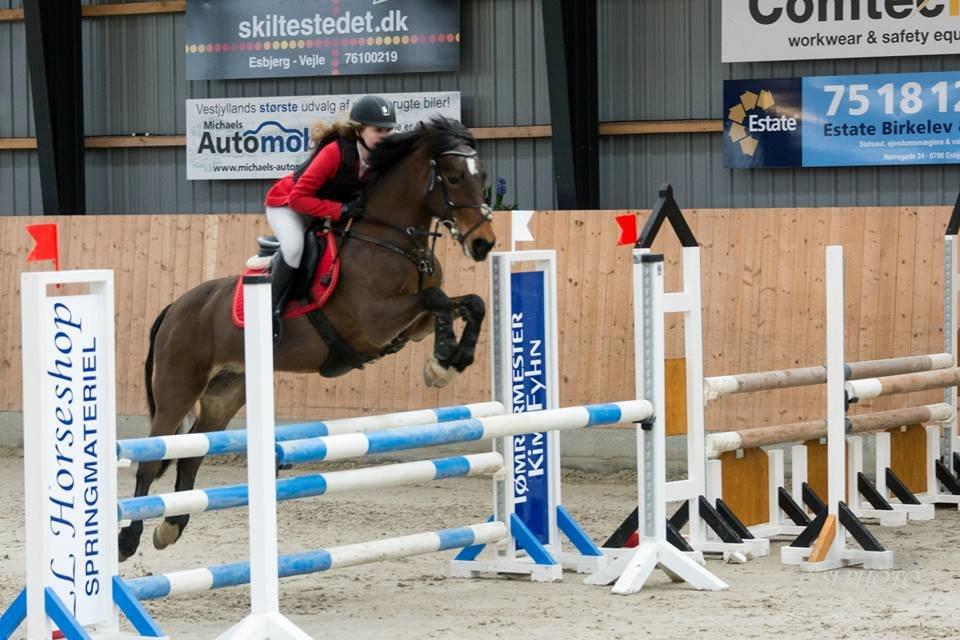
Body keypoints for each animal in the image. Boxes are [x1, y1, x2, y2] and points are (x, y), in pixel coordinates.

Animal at [118, 117, 497, 561]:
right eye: (453, 177)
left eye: (482, 176)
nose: (484, 243)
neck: (391, 239)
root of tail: (175, 307)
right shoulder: (375, 321)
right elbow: (437, 300)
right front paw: (442, 363)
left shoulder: (410, 324)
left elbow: (464, 303)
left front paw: (448, 361)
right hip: (178, 386)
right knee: (152, 458)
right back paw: (129, 539)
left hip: (225, 392)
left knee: (194, 452)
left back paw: (171, 527)